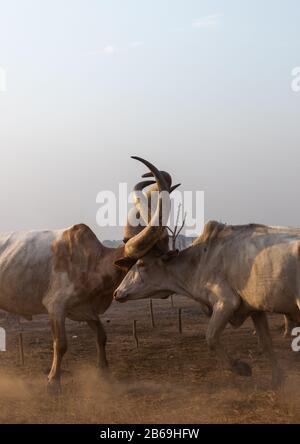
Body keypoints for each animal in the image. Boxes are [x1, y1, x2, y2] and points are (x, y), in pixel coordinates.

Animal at [0, 158, 178, 394]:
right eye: (142, 263)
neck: (92, 261)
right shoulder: (55, 307)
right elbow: (61, 344)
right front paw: (53, 381)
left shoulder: (86, 311)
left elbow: (102, 337)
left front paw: (105, 374)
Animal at [115, 185, 300, 388]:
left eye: (141, 264)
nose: (117, 292)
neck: (201, 259)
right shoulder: (255, 308)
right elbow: (266, 343)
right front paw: (277, 381)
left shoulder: (226, 302)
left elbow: (210, 337)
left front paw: (242, 368)